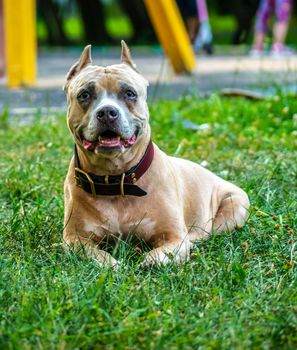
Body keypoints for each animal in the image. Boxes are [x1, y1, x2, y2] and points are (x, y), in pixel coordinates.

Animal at [63, 41, 250, 266]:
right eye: (84, 95)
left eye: (129, 93)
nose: (107, 112)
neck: (117, 181)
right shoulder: (74, 239)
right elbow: (95, 255)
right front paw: (112, 264)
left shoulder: (174, 237)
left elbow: (162, 254)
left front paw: (148, 261)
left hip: (235, 205)